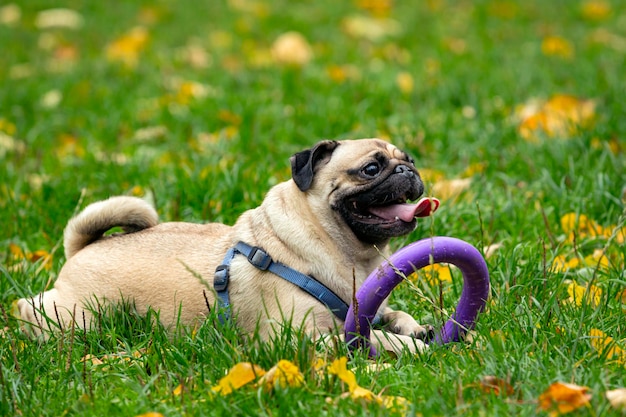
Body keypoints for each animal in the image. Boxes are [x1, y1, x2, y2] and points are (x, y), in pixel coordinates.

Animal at [18, 138, 438, 352]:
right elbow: (371, 338)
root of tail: (82, 248)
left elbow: (395, 315)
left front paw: (419, 330)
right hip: (78, 317)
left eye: (409, 159)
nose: (408, 169)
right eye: (372, 169)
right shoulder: (300, 336)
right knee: (31, 310)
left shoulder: (367, 308)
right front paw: (411, 347)